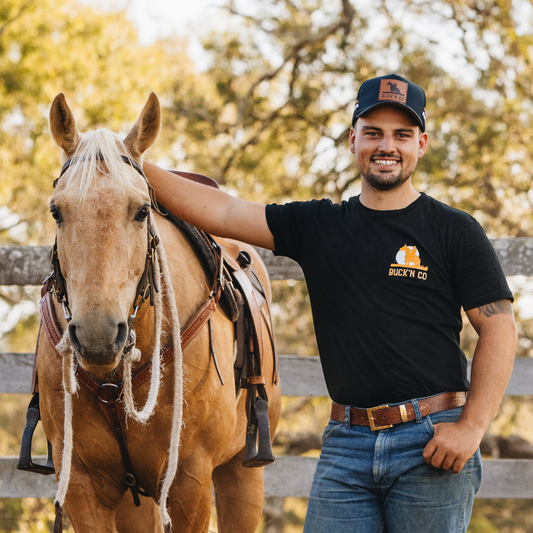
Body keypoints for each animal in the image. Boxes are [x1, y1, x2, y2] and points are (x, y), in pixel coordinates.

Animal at [35, 92, 280, 532]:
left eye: (142, 210)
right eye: (56, 212)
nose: (98, 335)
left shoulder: (189, 483)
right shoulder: (81, 485)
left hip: (241, 471)